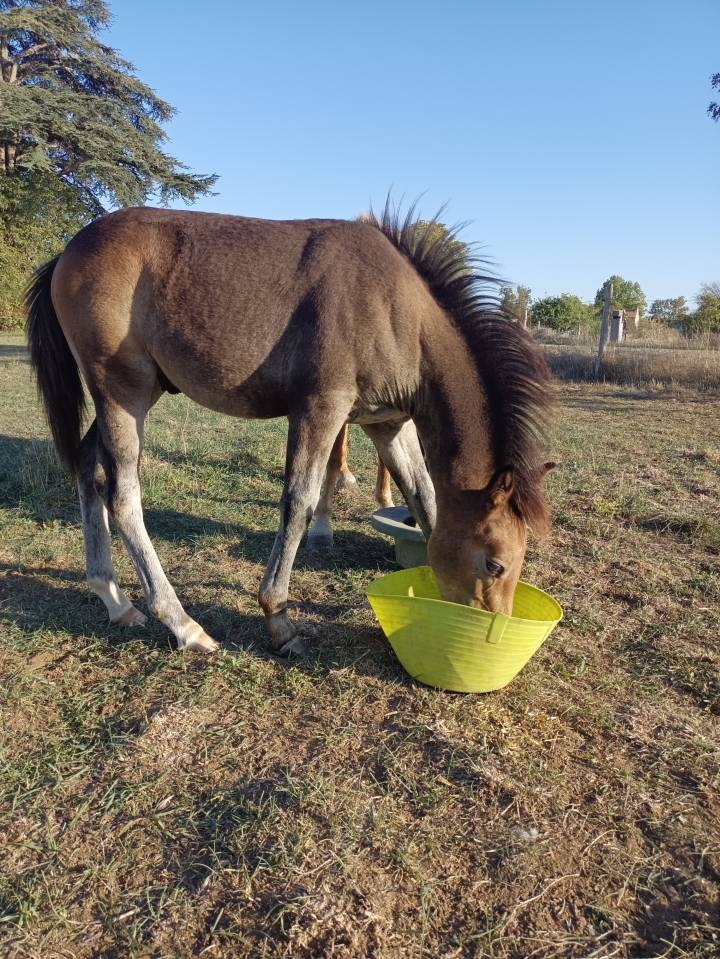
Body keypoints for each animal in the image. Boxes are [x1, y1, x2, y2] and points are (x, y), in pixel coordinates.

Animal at [26, 201, 555, 656]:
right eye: (495, 563)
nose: (490, 631)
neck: (395, 308)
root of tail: (69, 249)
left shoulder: (386, 424)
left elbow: (423, 497)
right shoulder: (320, 408)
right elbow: (299, 502)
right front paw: (278, 620)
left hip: (134, 396)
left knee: (88, 471)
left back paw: (115, 600)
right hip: (123, 394)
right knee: (122, 496)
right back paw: (183, 624)